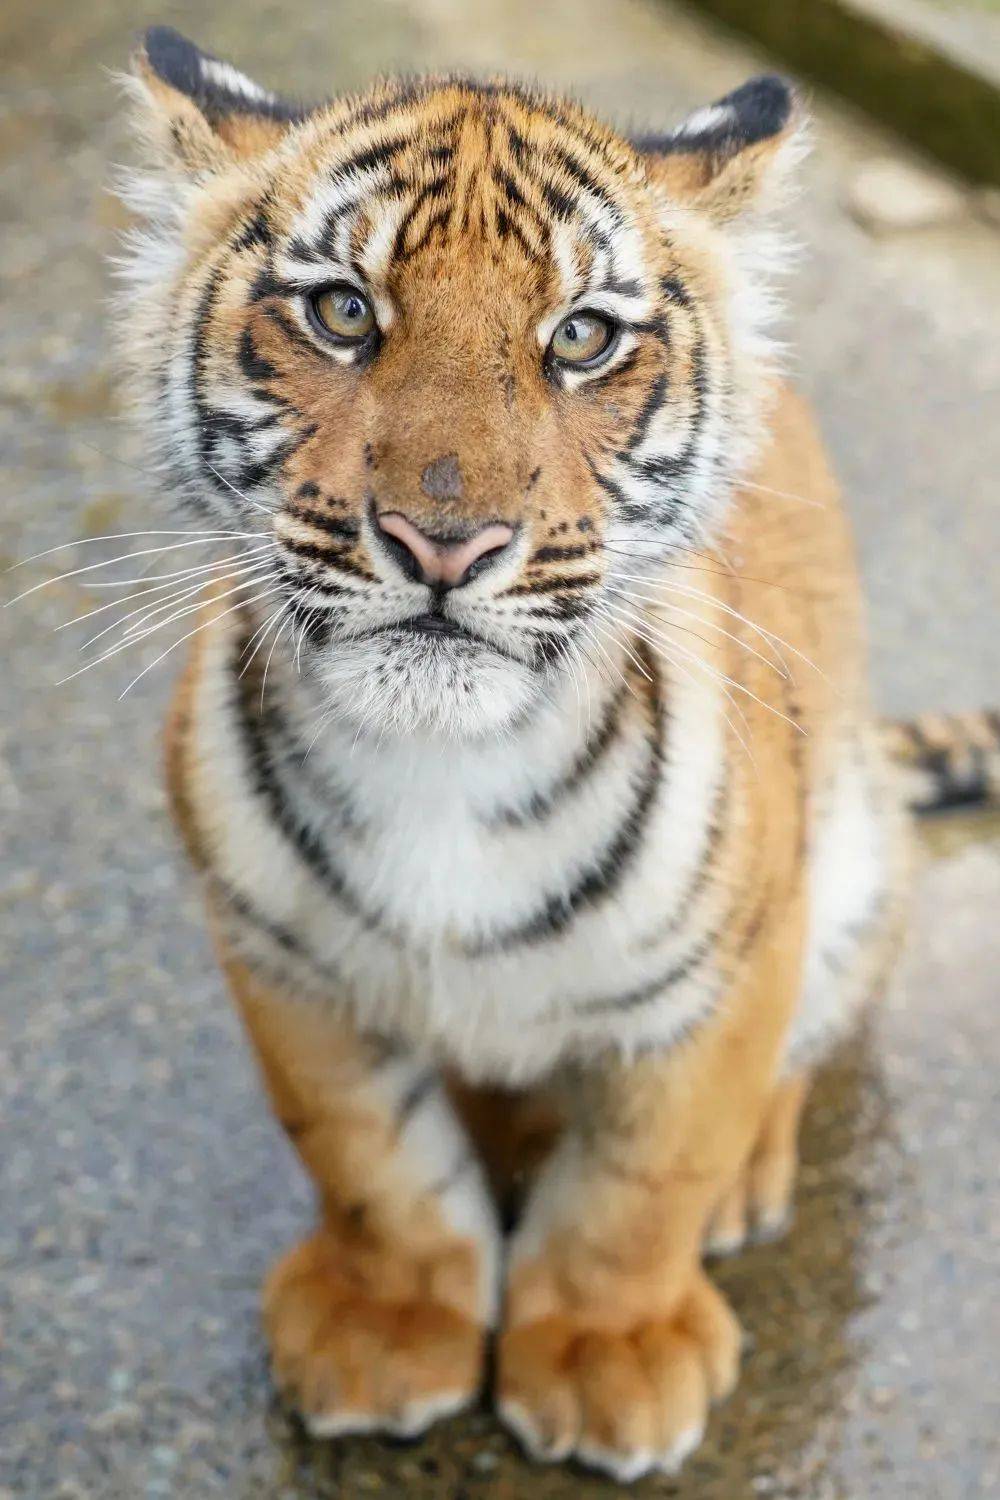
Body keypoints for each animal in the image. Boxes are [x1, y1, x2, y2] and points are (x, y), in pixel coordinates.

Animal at [109, 29, 1000, 1482]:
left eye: (580, 337)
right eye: (343, 312)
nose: (443, 541)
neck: (436, 769)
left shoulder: (723, 974)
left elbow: (642, 1182)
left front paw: (606, 1354)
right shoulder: (282, 960)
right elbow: (366, 1158)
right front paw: (387, 1325)